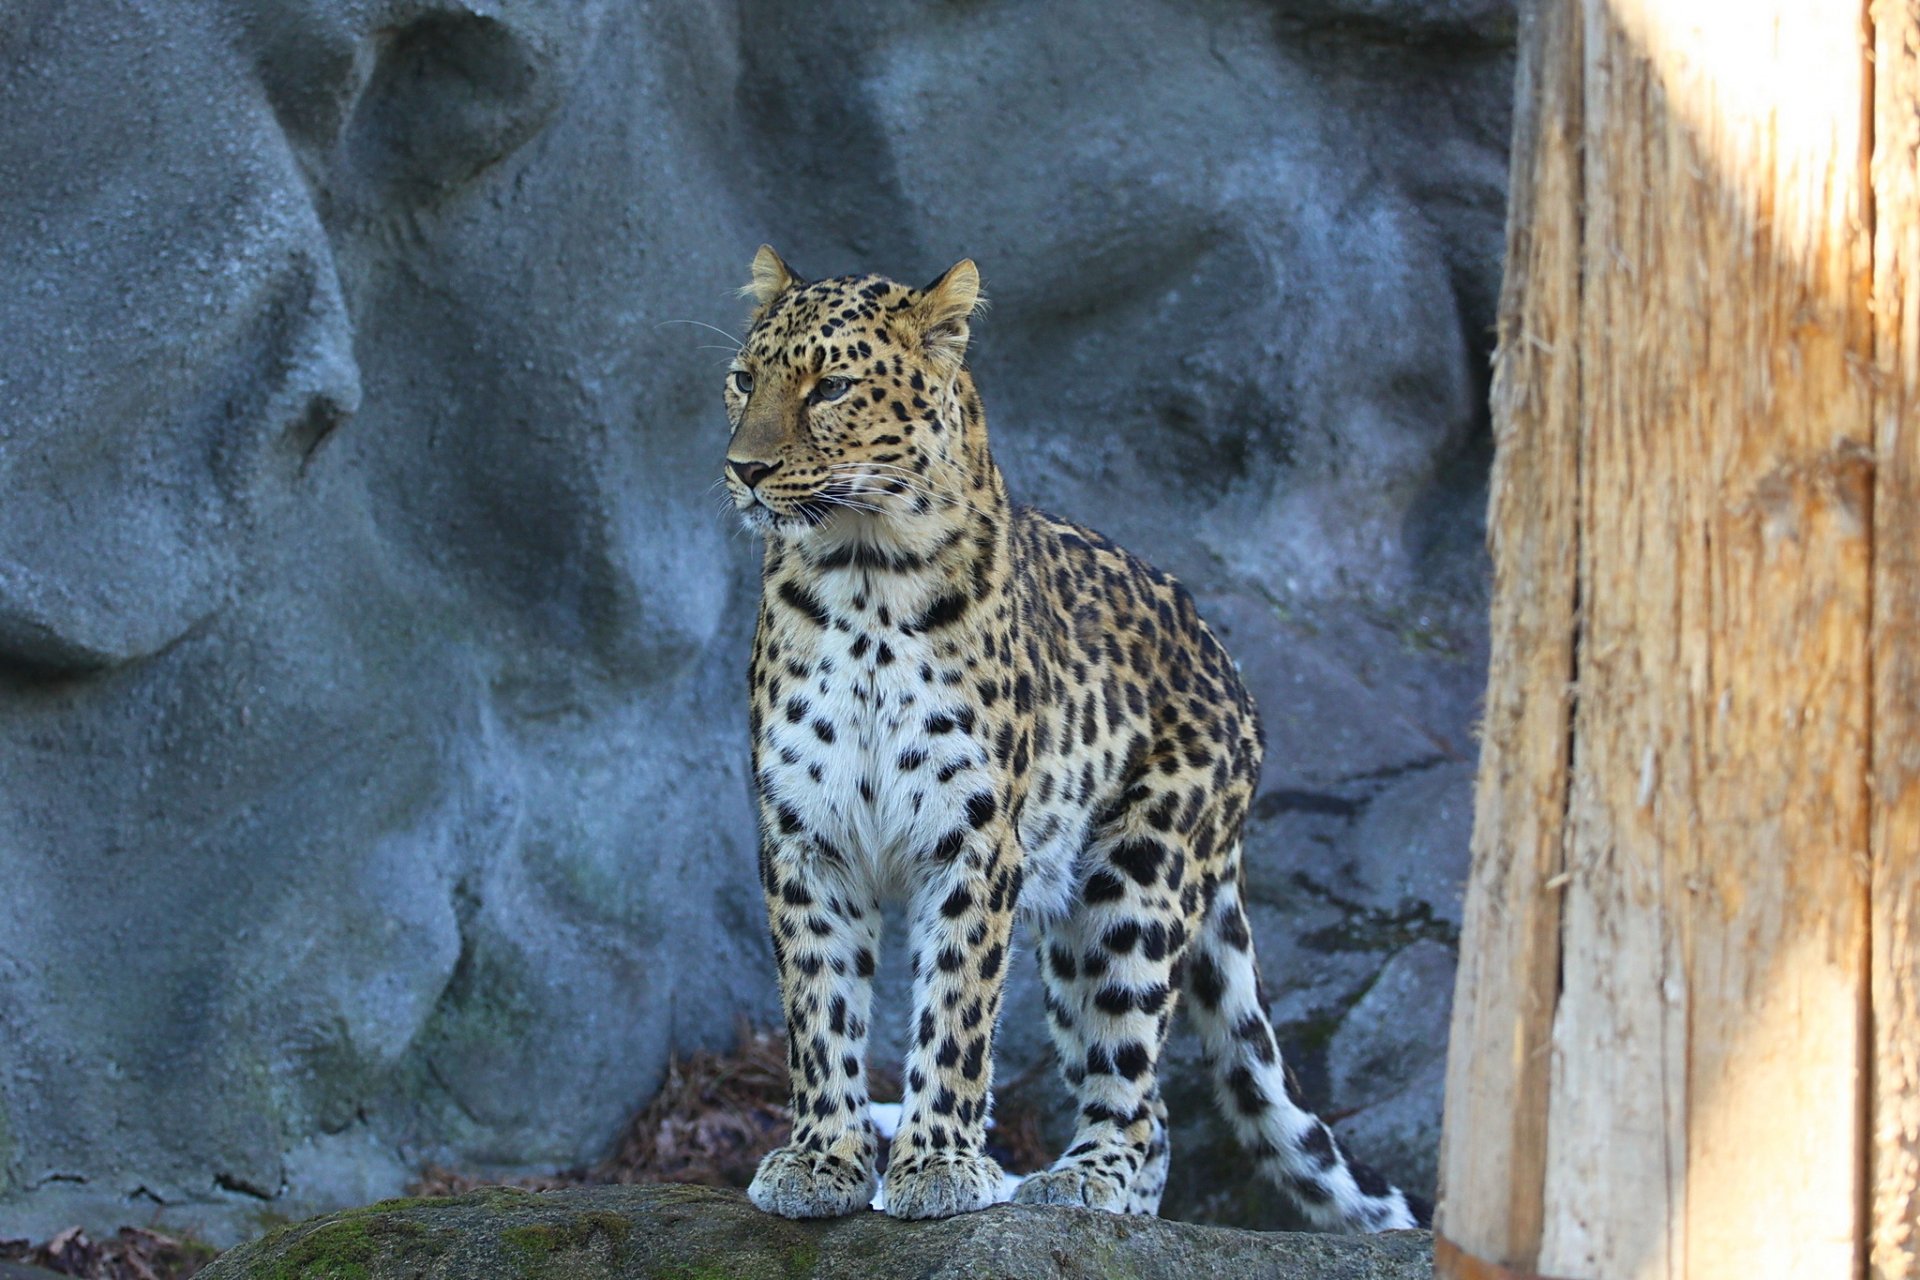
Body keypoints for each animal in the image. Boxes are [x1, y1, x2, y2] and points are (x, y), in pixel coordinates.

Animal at [721, 245, 1428, 1235]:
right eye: (744, 380)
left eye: (831, 387)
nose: (744, 469)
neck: (861, 577)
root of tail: (1233, 671)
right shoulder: (804, 834)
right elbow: (820, 1008)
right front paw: (823, 1158)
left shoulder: (975, 837)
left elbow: (957, 1009)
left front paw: (938, 1164)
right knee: (1156, 1110)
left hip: (1133, 883)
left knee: (1137, 1092)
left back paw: (1081, 1186)